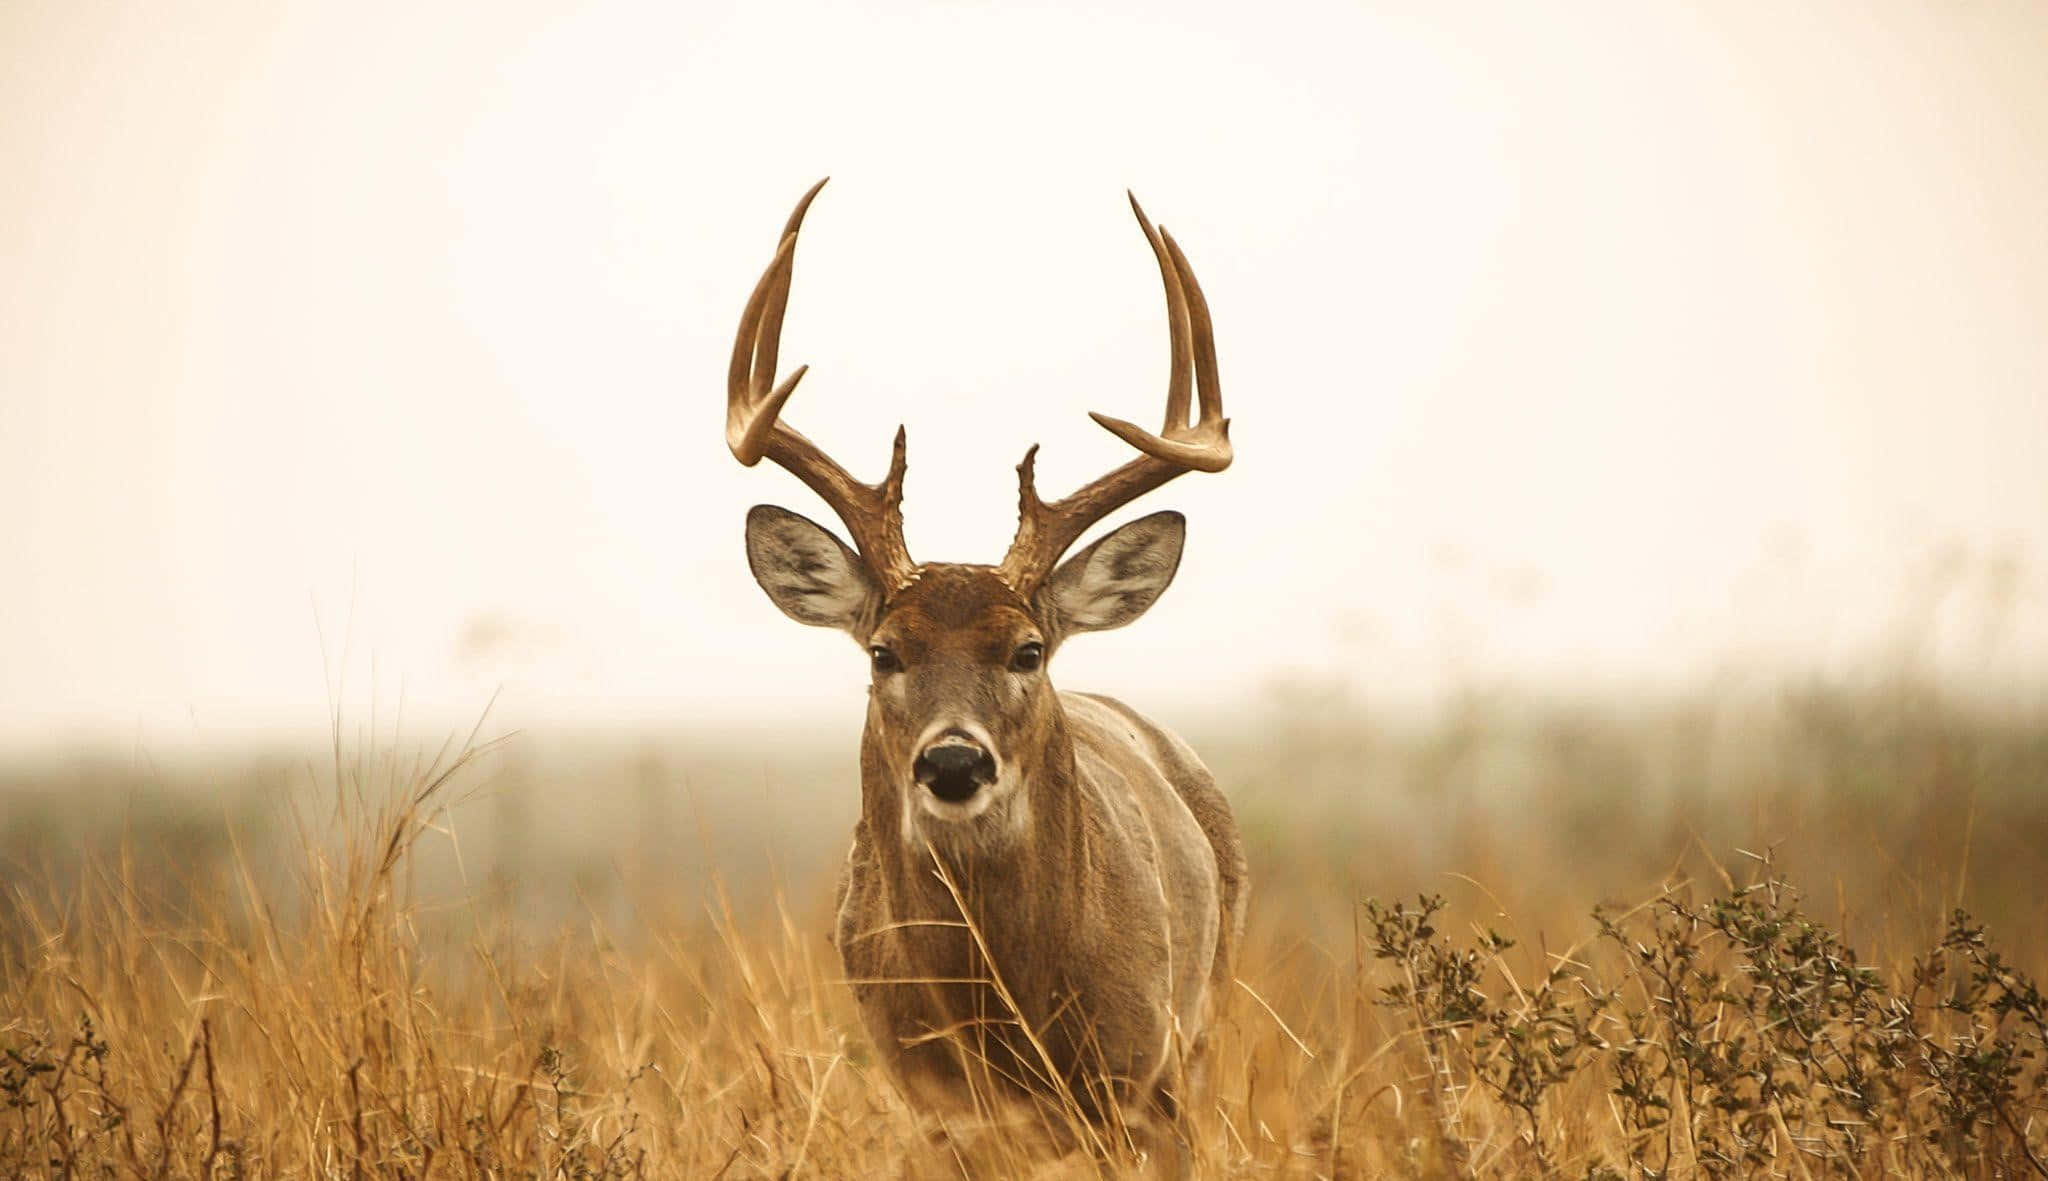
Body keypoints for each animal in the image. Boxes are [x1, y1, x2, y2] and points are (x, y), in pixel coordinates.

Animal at [722, 179, 1247, 1160]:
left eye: (1026, 650)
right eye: (884, 651)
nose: (954, 761)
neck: (1010, 1018)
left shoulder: (1139, 1084)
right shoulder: (938, 1111)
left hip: (1203, 1027)